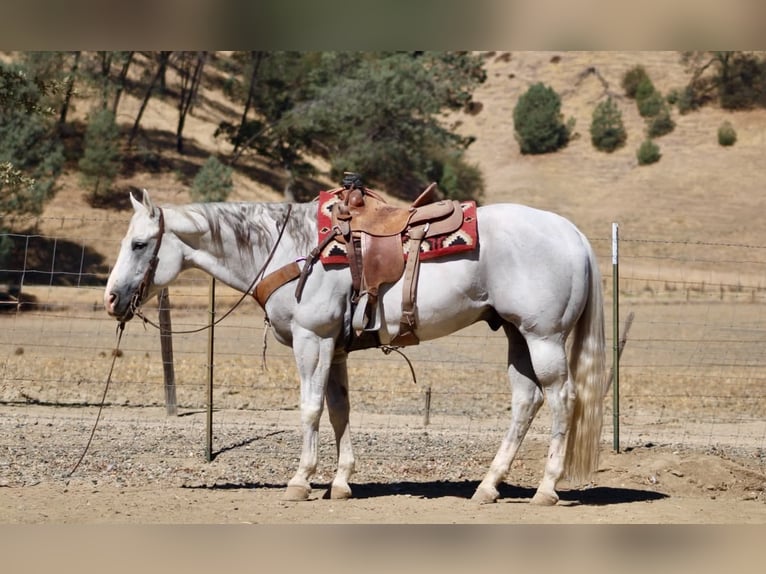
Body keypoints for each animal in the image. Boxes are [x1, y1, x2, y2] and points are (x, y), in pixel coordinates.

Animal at [104, 188, 607, 506]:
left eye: (139, 243)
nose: (111, 298)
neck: (288, 247)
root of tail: (572, 234)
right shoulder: (335, 345)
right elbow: (339, 410)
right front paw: (341, 482)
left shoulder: (312, 340)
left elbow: (310, 409)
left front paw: (301, 480)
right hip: (517, 335)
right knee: (525, 402)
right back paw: (487, 486)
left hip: (544, 338)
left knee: (561, 399)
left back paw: (546, 489)